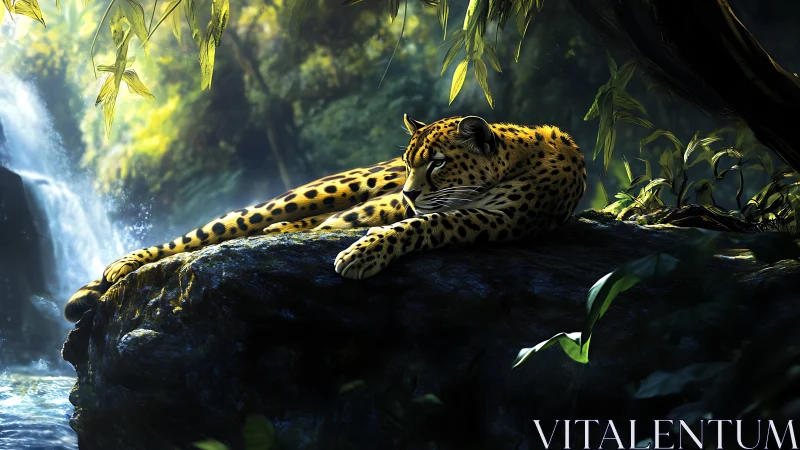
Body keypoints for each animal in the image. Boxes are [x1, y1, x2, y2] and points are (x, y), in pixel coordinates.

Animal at [64, 115, 587, 322]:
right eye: (411, 162)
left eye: (438, 162)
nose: (407, 191)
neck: (520, 158)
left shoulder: (496, 220)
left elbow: (424, 223)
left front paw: (362, 252)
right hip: (319, 191)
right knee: (221, 227)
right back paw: (115, 271)